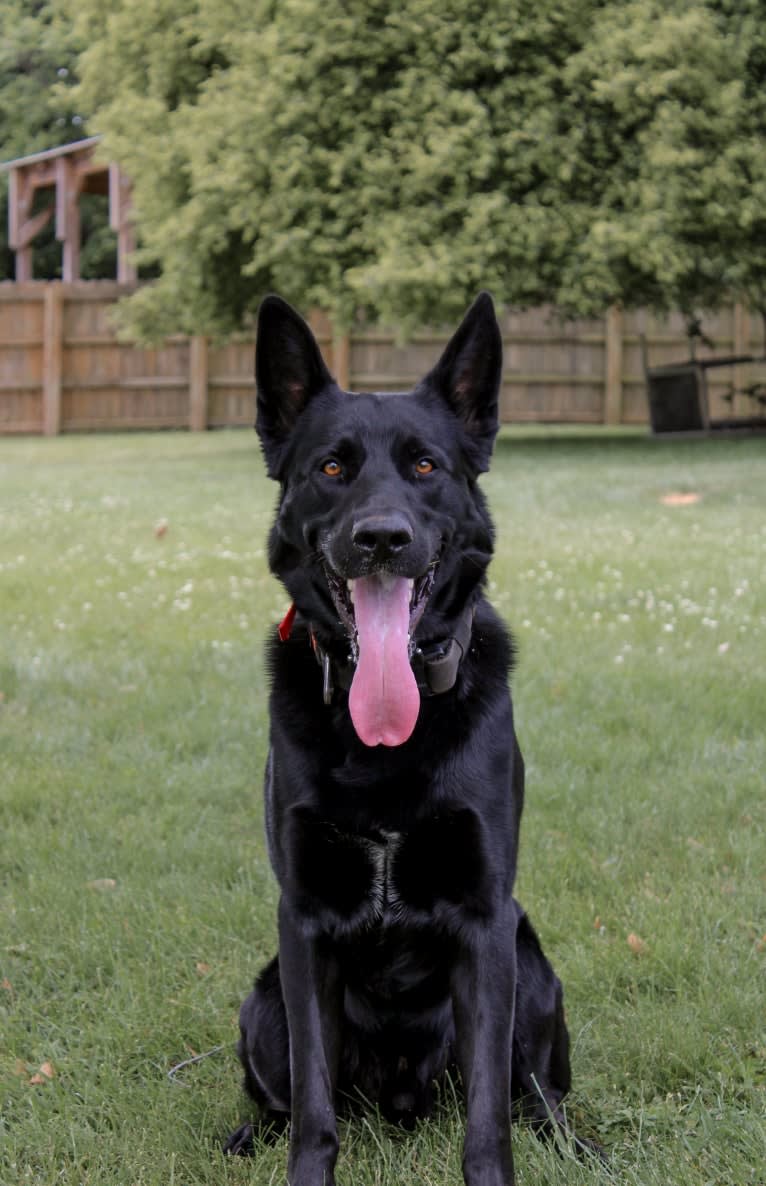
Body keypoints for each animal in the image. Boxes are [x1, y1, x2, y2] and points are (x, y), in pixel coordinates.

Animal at [226, 291, 583, 1181]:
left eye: (425, 467)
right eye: (330, 469)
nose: (381, 538)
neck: (384, 737)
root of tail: (401, 1097)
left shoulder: (487, 923)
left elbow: (488, 1112)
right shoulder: (301, 925)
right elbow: (315, 1104)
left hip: (534, 966)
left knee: (536, 1094)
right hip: (261, 998)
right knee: (289, 1096)